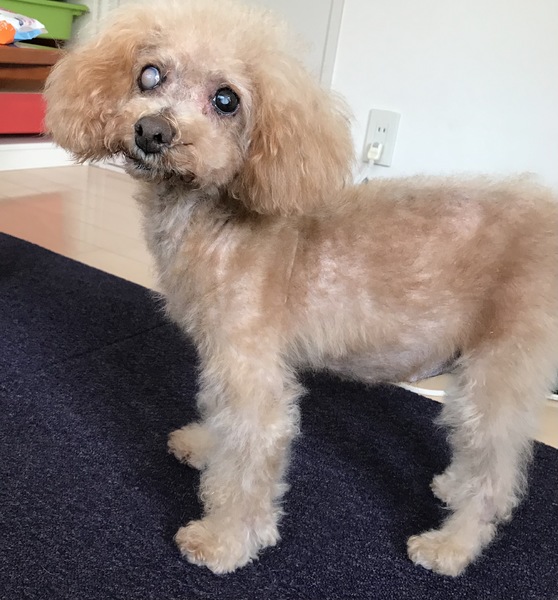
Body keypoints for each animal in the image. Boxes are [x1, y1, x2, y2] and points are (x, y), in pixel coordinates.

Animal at [44, 0, 558, 577]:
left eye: (227, 100)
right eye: (149, 75)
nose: (152, 131)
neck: (213, 220)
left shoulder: (252, 370)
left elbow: (247, 464)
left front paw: (225, 540)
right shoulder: (224, 358)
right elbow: (218, 417)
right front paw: (203, 445)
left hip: (501, 370)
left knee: (495, 477)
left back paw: (450, 547)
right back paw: (452, 487)